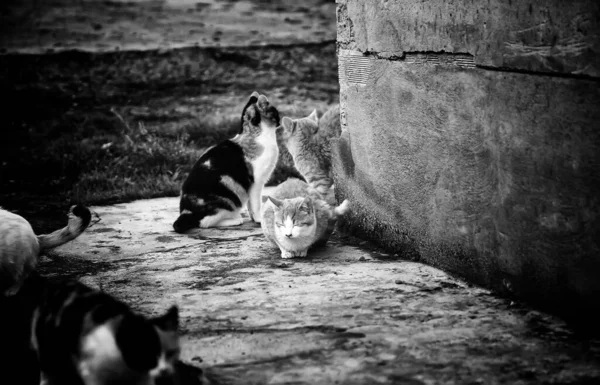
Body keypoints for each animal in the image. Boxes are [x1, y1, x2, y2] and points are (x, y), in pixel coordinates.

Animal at [173, 91, 282, 232]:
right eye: (275, 113)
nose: (280, 119)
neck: (254, 135)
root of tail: (186, 211)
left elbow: (250, 205)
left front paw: (253, 218)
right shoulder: (256, 182)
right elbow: (256, 203)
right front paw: (259, 219)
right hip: (226, 200)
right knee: (204, 223)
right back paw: (235, 220)